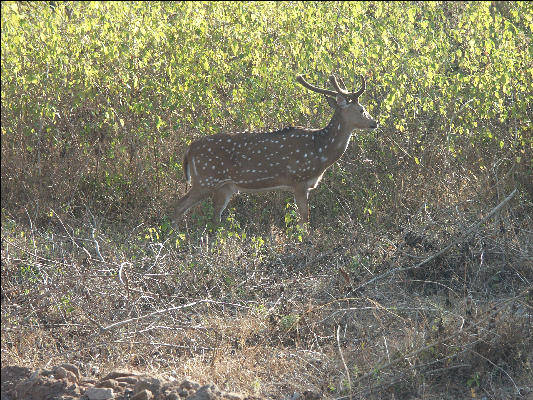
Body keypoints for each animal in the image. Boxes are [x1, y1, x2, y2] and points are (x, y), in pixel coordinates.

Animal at [172, 74, 376, 225]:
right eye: (361, 109)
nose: (375, 122)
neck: (321, 152)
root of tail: (188, 150)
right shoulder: (298, 180)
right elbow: (305, 218)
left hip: (225, 187)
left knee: (215, 216)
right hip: (206, 179)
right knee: (178, 207)